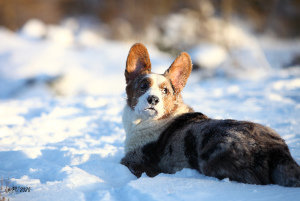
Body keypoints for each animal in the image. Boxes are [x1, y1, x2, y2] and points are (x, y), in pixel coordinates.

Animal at [120, 42, 300, 187]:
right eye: (143, 85)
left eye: (165, 91)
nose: (153, 99)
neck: (149, 121)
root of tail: (277, 151)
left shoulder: (134, 161)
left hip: (213, 157)